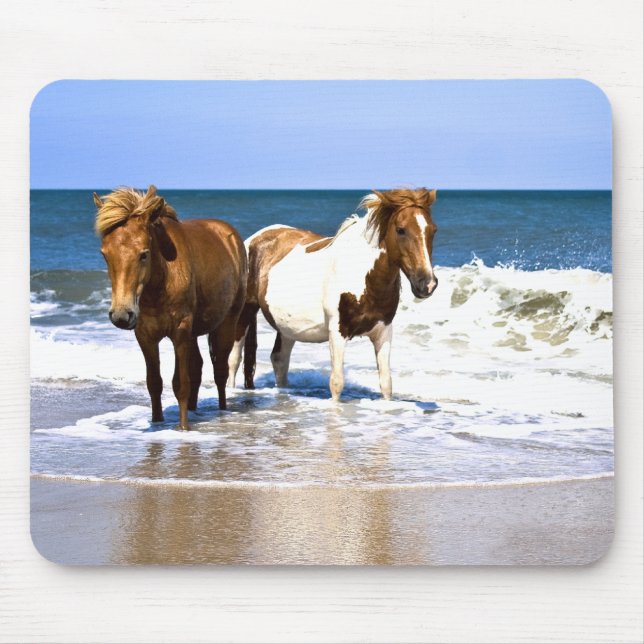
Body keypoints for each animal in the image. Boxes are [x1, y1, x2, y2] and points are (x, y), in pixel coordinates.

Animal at [94, 185, 247, 430]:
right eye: (105, 254)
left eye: (144, 254)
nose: (121, 315)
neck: (162, 279)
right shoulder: (145, 335)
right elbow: (154, 382)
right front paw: (157, 422)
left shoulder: (180, 332)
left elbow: (180, 383)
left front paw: (183, 428)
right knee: (198, 367)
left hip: (226, 324)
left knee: (220, 369)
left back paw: (222, 410)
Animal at [228, 188, 438, 401]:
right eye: (401, 230)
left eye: (433, 230)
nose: (427, 284)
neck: (360, 274)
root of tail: (253, 239)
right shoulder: (337, 332)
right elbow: (336, 383)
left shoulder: (384, 331)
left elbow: (386, 384)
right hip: (244, 312)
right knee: (234, 359)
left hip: (287, 326)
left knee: (279, 360)